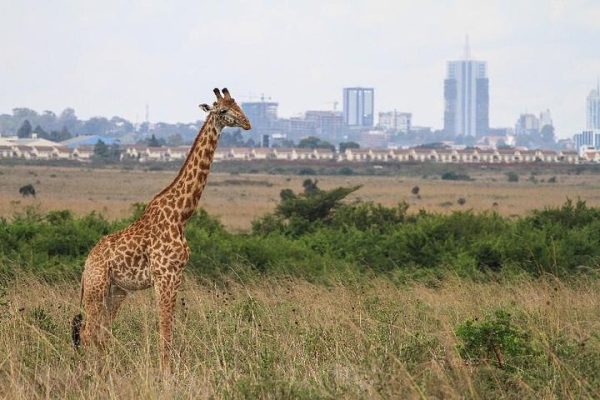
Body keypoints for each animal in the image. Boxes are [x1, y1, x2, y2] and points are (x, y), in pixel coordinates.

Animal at [72, 88, 251, 372]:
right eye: (222, 110)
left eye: (238, 105)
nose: (247, 123)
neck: (180, 215)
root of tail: (87, 263)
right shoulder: (165, 276)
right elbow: (165, 329)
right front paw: (166, 372)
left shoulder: (176, 276)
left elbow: (169, 327)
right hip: (95, 288)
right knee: (89, 332)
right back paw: (92, 373)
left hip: (116, 291)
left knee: (102, 332)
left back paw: (105, 369)